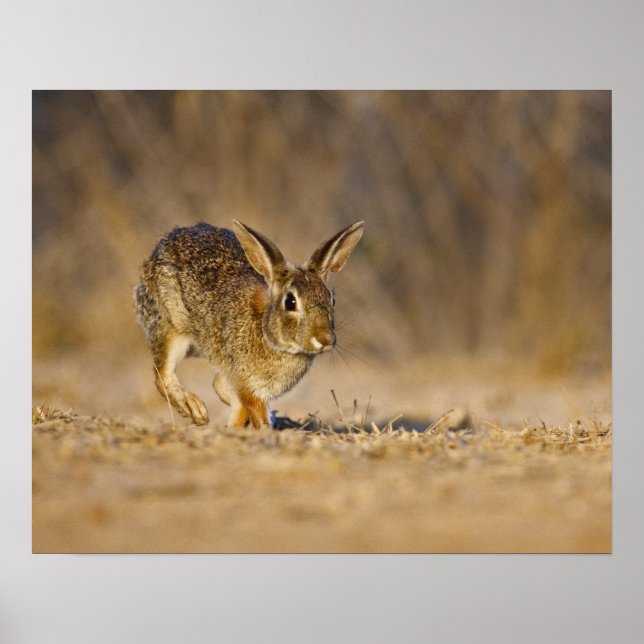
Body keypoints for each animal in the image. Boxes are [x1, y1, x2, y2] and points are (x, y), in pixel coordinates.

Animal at [134, 219, 364, 428]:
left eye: (332, 300)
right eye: (290, 302)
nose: (326, 339)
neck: (268, 334)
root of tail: (162, 244)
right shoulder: (247, 384)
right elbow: (255, 412)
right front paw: (263, 431)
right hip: (170, 327)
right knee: (162, 375)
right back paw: (194, 409)